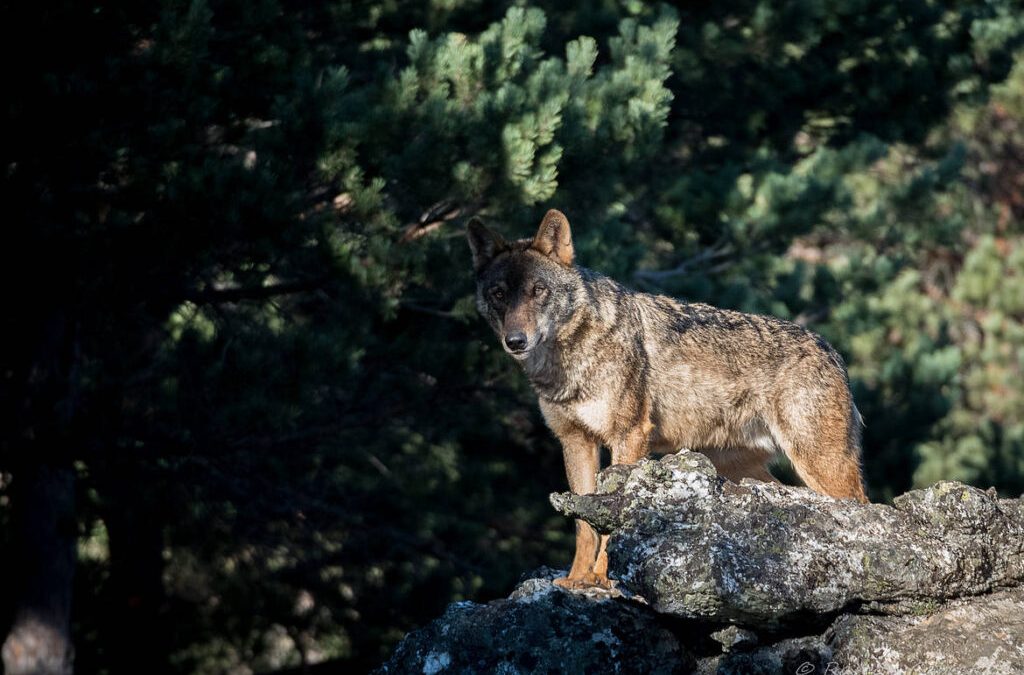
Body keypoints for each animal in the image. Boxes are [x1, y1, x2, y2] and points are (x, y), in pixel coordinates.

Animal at [468, 208, 864, 589]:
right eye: (499, 294)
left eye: (538, 290)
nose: (515, 341)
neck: (569, 363)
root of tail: (833, 352)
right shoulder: (576, 441)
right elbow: (585, 526)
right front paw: (578, 580)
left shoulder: (629, 436)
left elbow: (613, 524)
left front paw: (605, 579)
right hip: (746, 473)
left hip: (821, 469)